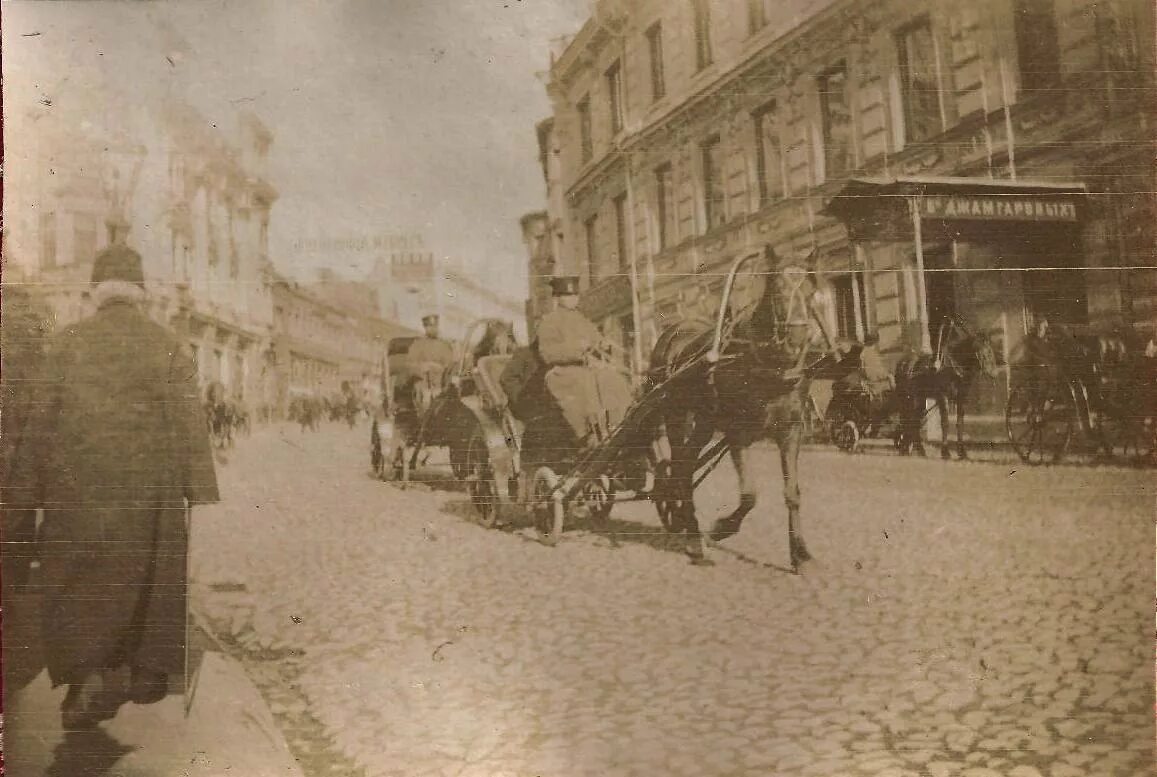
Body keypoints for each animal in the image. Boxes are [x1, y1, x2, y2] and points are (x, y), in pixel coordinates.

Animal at [647, 248, 846, 571]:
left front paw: (800, 553)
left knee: (685, 465)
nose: (797, 340)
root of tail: (672, 333)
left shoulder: (791, 431)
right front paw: (721, 528)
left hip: (703, 423)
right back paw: (693, 537)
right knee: (681, 467)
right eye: (777, 290)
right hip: (676, 417)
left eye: (811, 292)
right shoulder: (737, 433)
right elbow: (750, 495)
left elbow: (792, 493)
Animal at [888, 314, 999, 462]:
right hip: (907, 399)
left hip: (919, 399)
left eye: (991, 349)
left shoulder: (961, 399)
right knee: (908, 420)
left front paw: (962, 453)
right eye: (979, 349)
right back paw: (907, 448)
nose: (994, 373)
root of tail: (903, 363)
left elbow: (960, 423)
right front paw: (945, 452)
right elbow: (945, 423)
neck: (954, 369)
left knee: (914, 420)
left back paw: (917, 450)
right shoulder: (943, 397)